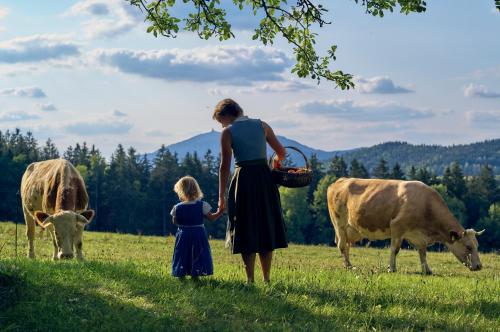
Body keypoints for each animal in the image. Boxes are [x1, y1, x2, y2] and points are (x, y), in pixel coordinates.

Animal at [328, 178, 484, 274]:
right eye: (468, 247)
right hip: (339, 224)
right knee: (341, 245)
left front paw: (427, 270)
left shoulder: (419, 237)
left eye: (477, 246)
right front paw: (392, 268)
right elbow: (395, 249)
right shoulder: (397, 227)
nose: (479, 266)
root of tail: (340, 181)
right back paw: (349, 266)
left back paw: (347, 264)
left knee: (346, 245)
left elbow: (423, 253)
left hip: (349, 230)